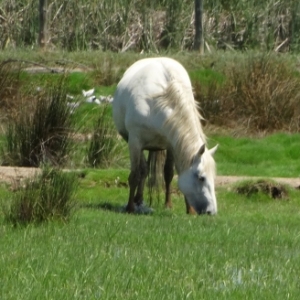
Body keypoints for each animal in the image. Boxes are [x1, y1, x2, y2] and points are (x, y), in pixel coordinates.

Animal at [112, 56, 218, 213]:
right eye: (201, 178)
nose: (211, 211)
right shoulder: (135, 142)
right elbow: (135, 174)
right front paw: (130, 207)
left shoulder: (172, 144)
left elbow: (168, 173)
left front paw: (175, 206)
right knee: (142, 170)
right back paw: (137, 200)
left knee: (146, 170)